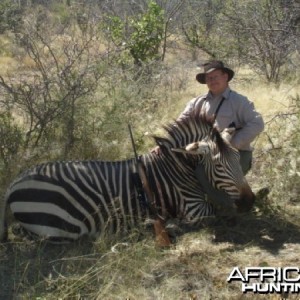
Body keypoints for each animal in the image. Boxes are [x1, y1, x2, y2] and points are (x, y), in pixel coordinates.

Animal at [0, 108, 254, 241]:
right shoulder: (194, 209)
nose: (249, 202)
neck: (175, 167)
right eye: (219, 166)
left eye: (237, 157)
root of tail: (14, 183)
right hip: (59, 229)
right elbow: (221, 213)